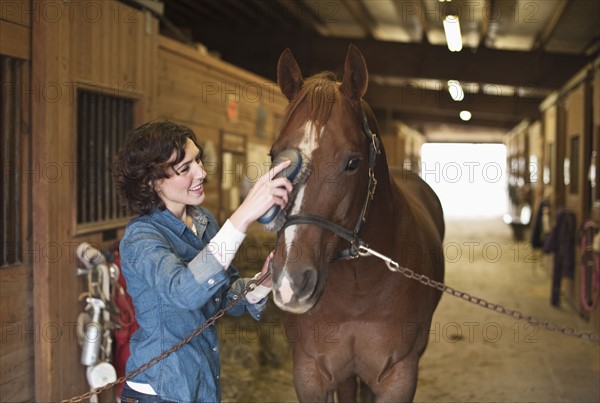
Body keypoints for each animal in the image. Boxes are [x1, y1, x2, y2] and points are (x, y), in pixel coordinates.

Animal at [270, 45, 442, 402]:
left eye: (352, 162)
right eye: (274, 157)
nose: (291, 281)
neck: (357, 290)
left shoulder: (398, 378)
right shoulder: (310, 375)